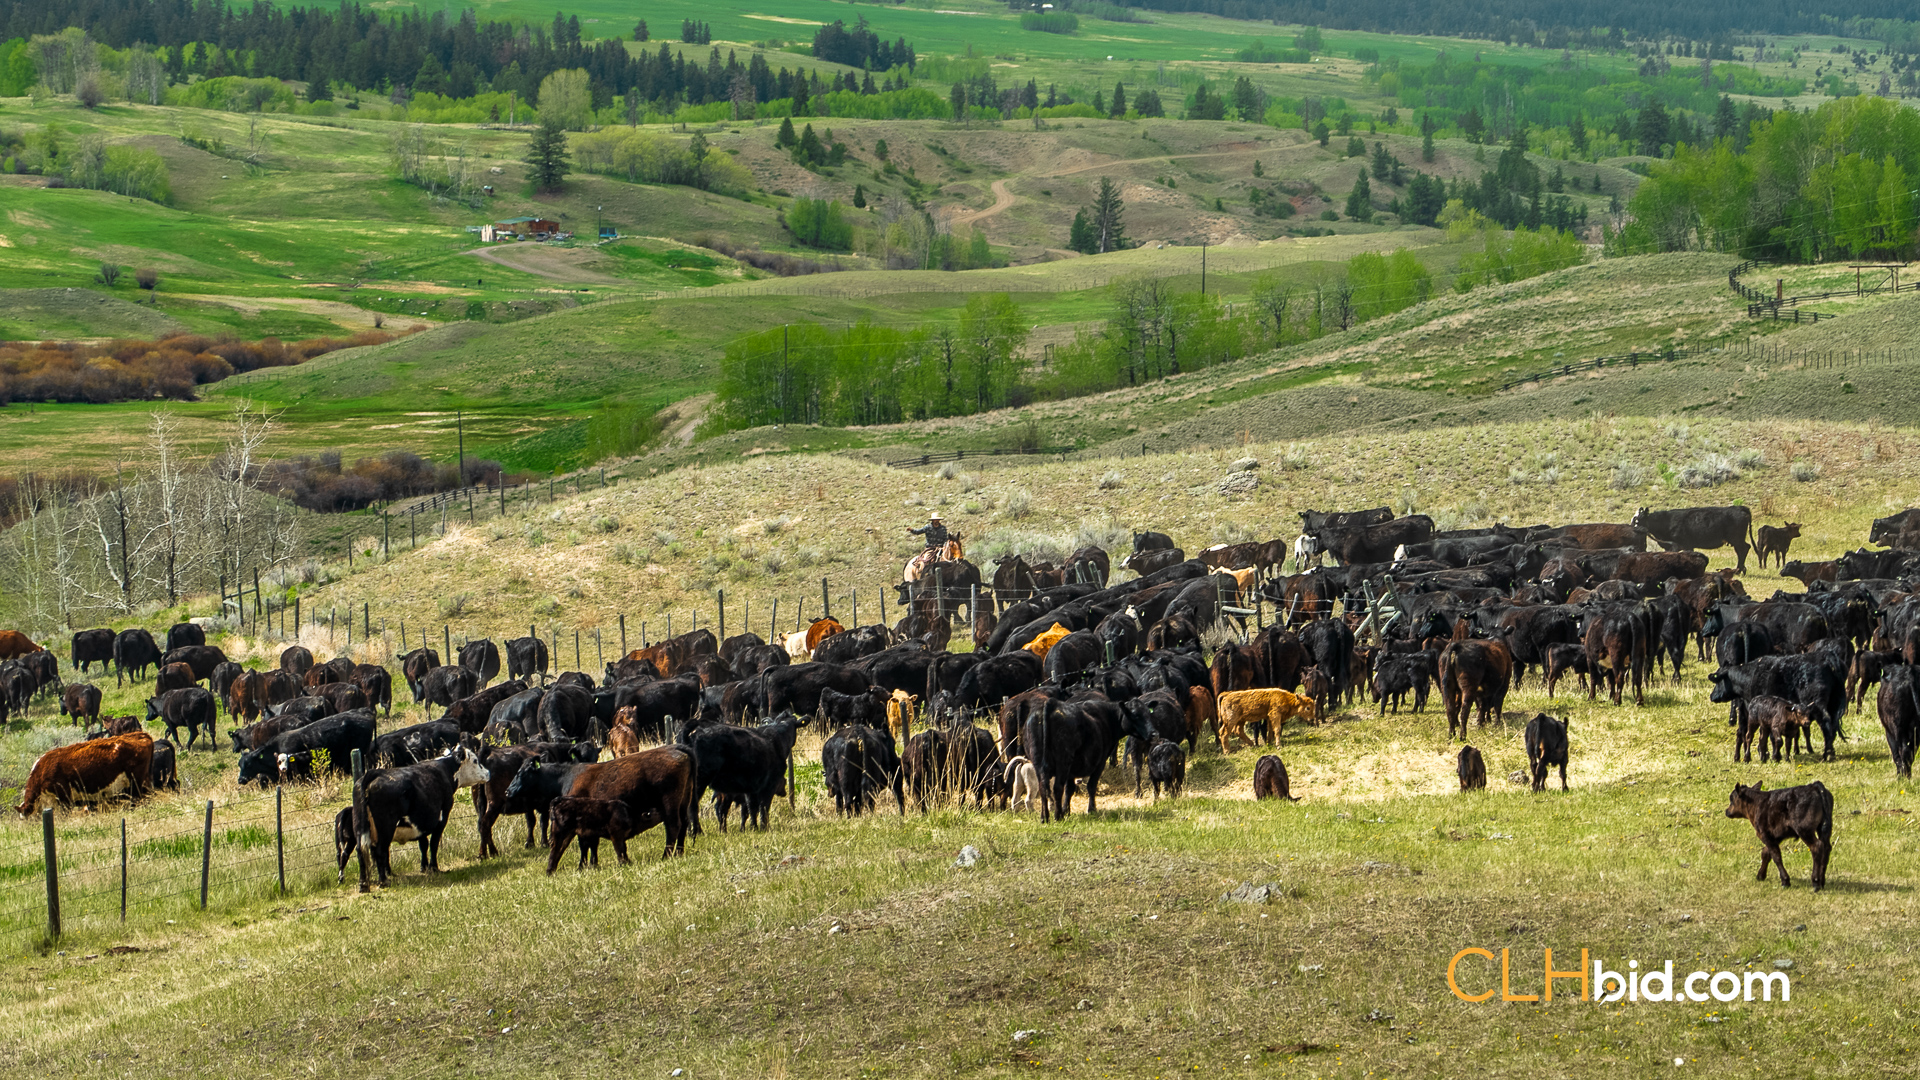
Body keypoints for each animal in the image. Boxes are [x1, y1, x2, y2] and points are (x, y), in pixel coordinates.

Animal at [354, 746, 490, 885]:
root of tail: (374, 773)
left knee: (362, 851)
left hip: (362, 828)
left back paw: (365, 882)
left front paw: (424, 867)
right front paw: (434, 868)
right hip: (386, 827)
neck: (445, 769)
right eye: (475, 761)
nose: (488, 772)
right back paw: (383, 881)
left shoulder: (420, 821)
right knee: (380, 850)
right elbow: (434, 844)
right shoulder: (442, 818)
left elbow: (423, 844)